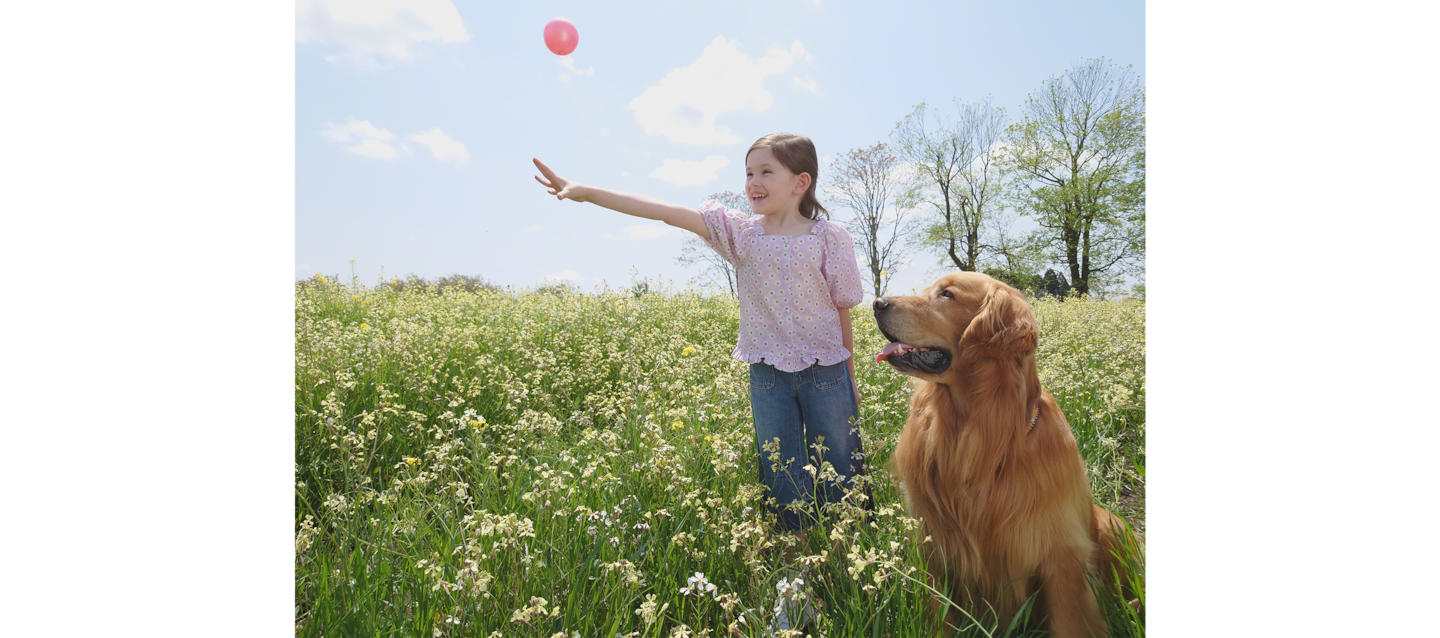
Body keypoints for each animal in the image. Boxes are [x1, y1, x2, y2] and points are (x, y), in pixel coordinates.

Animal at [875, 273, 1134, 638]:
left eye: (947, 294)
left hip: (1111, 524)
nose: (877, 303)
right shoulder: (935, 547)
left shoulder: (1061, 555)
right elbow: (939, 615)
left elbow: (1069, 621)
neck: (977, 439)